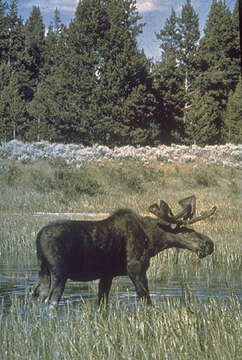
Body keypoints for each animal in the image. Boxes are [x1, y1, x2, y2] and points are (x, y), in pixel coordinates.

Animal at [32, 195, 216, 308]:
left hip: (43, 272)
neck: (153, 241)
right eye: (185, 231)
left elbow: (102, 304)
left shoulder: (106, 275)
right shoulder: (135, 268)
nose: (209, 243)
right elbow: (147, 300)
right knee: (51, 302)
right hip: (59, 273)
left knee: (37, 296)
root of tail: (38, 237)